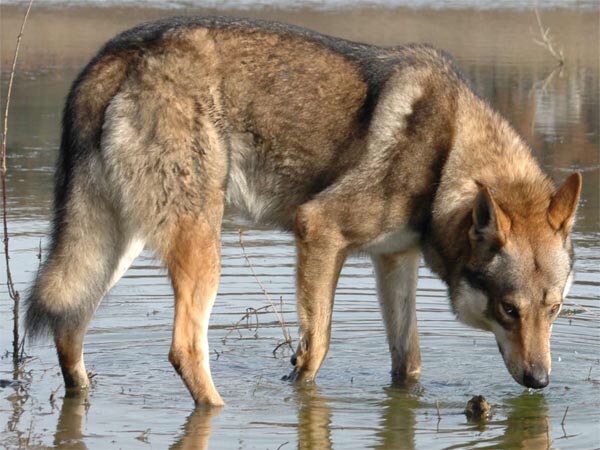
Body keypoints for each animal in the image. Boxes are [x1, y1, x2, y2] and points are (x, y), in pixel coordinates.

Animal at [25, 16, 584, 404]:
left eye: (554, 309)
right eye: (509, 310)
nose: (540, 381)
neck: (445, 153)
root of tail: (122, 52)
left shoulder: (394, 261)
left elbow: (409, 364)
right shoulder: (319, 230)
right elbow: (315, 352)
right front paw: (298, 395)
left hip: (117, 245)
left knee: (69, 326)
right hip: (201, 248)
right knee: (184, 348)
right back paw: (218, 410)